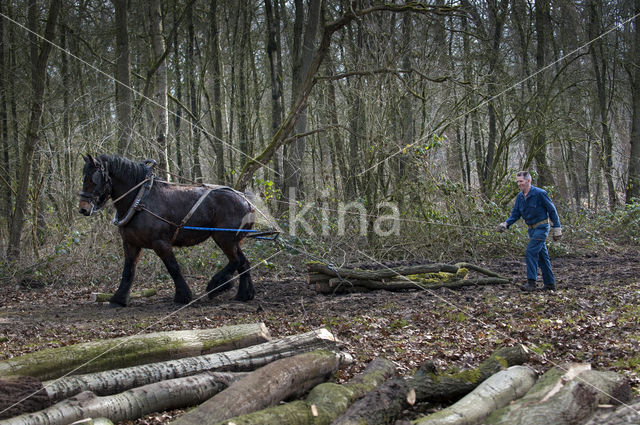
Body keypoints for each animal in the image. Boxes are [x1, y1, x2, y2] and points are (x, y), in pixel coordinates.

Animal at [80, 154, 258, 306]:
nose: (83, 209)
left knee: (236, 261)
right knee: (243, 263)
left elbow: (173, 268)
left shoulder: (160, 243)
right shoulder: (131, 244)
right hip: (233, 240)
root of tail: (246, 201)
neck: (140, 199)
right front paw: (118, 299)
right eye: (83, 178)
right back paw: (244, 294)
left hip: (224, 238)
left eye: (93, 179)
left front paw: (183, 296)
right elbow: (128, 271)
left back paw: (216, 286)